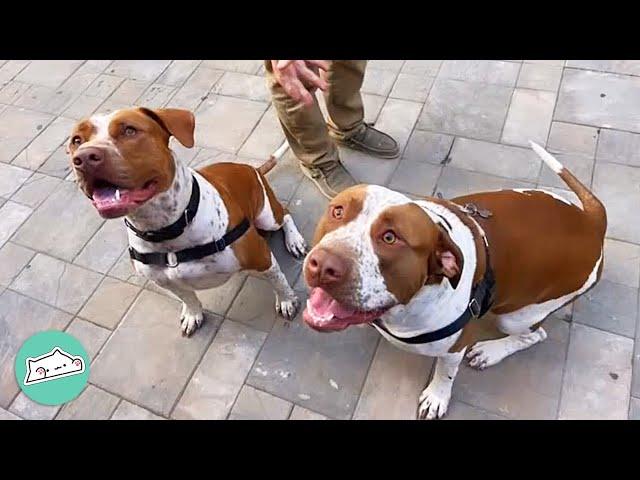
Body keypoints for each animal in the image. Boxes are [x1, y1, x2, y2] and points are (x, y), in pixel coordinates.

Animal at [69, 107, 306, 336]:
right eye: (76, 140)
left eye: (129, 130)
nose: (84, 157)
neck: (166, 229)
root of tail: (253, 169)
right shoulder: (165, 281)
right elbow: (188, 297)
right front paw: (193, 314)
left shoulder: (262, 257)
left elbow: (278, 281)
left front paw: (287, 301)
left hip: (266, 216)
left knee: (285, 214)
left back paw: (294, 241)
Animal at [302, 141, 608, 418]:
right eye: (338, 211)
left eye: (390, 237)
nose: (323, 265)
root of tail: (592, 223)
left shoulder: (454, 349)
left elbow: (445, 373)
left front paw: (437, 396)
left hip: (516, 316)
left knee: (534, 335)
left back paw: (490, 352)